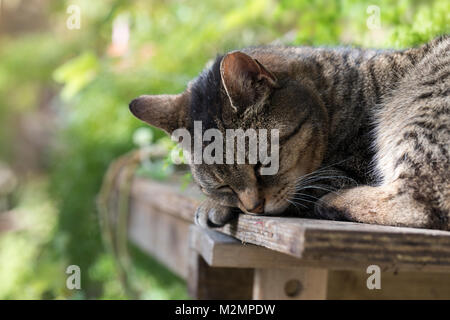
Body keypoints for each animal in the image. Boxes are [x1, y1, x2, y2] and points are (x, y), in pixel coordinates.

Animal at [128, 35, 448, 230]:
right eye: (223, 186)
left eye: (262, 165)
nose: (255, 207)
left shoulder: (345, 171)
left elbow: (305, 191)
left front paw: (210, 207)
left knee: (418, 206)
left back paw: (333, 203)